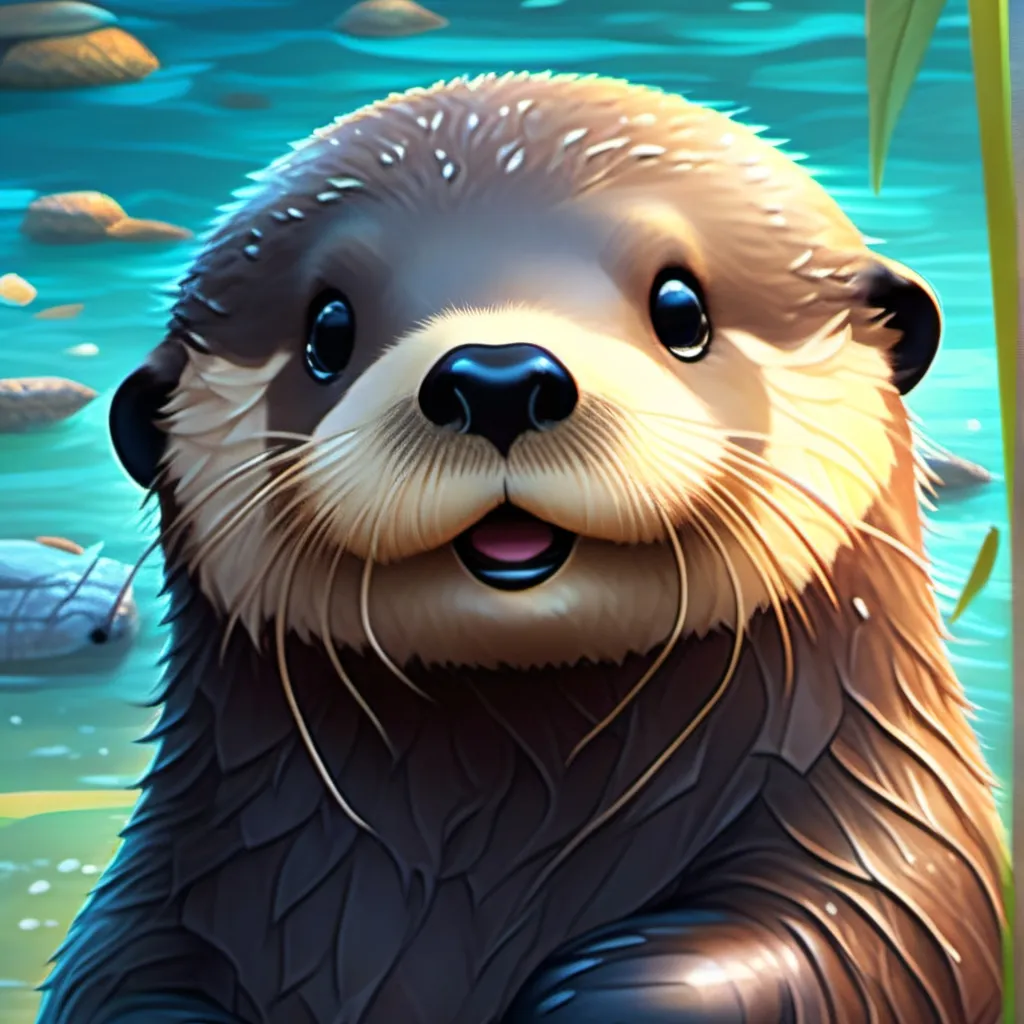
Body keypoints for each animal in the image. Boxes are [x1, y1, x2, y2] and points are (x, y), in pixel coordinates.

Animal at [37, 72, 1006, 1024]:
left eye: (682, 308)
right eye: (327, 331)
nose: (497, 376)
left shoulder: (892, 839)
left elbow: (860, 938)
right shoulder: (158, 904)